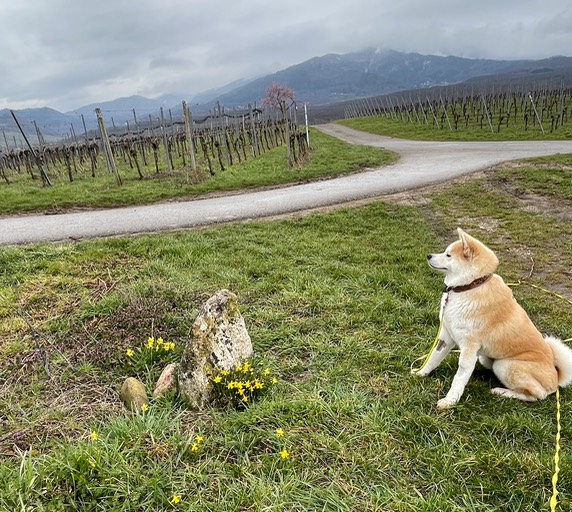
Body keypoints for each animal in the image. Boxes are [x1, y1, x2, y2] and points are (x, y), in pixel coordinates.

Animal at [416, 227, 572, 408]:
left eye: (448, 255)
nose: (429, 255)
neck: (470, 286)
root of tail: (556, 378)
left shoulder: (469, 347)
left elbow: (459, 378)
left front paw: (450, 401)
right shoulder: (446, 336)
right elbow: (433, 357)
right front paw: (420, 373)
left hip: (505, 365)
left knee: (537, 395)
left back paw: (502, 392)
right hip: (485, 357)